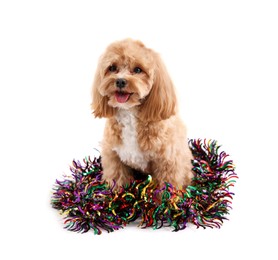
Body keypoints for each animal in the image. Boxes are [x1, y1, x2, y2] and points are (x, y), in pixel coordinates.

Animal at [91, 38, 193, 189]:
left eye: (138, 69)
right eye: (112, 68)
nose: (120, 81)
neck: (130, 113)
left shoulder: (168, 162)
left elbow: (167, 188)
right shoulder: (113, 157)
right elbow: (117, 182)